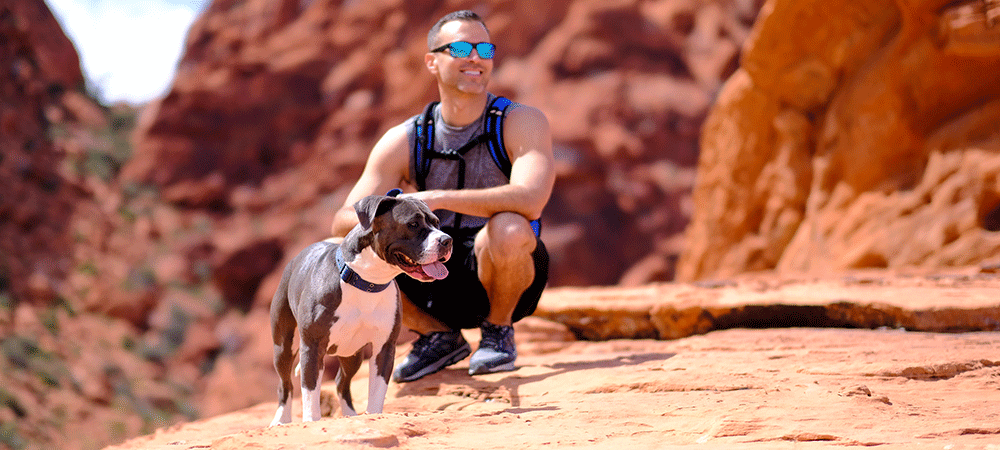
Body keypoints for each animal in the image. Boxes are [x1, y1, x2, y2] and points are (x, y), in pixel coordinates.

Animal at [268, 191, 452, 426]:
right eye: (413, 224)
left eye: (437, 223)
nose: (447, 240)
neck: (367, 281)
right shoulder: (312, 346)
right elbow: (310, 393)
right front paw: (311, 421)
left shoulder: (384, 347)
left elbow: (377, 390)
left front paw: (374, 416)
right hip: (284, 346)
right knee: (285, 385)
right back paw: (281, 419)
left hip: (351, 353)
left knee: (341, 382)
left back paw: (350, 414)